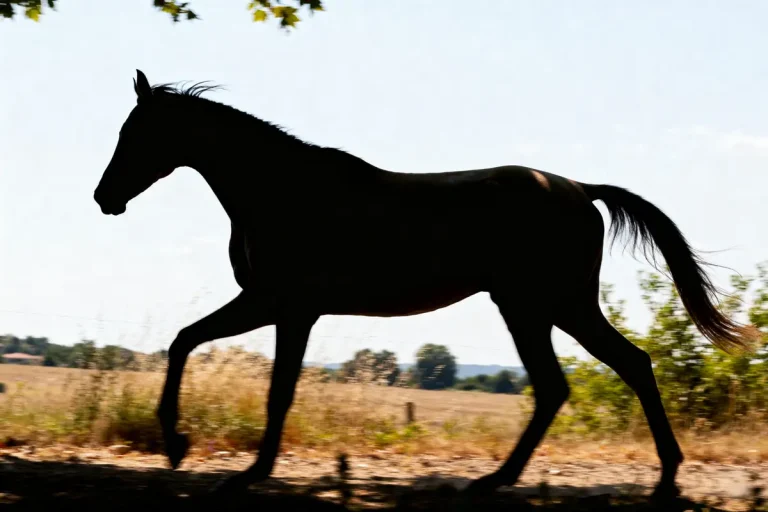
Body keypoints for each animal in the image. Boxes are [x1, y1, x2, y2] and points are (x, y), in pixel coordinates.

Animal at [93, 70, 760, 499]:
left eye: (136, 134)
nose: (104, 198)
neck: (282, 192)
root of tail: (579, 189)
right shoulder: (276, 306)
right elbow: (189, 343)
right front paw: (186, 446)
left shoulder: (285, 306)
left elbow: (265, 384)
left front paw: (226, 462)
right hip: (537, 308)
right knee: (578, 380)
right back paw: (521, 477)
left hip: (548, 305)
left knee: (607, 371)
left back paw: (646, 476)